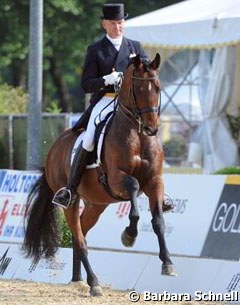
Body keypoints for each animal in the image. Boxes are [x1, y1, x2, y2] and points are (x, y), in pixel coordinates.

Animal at [23, 52, 177, 294]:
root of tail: (54, 149)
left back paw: (78, 279)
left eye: (158, 88)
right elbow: (134, 192)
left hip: (97, 204)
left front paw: (168, 263)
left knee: (81, 234)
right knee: (79, 238)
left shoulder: (154, 181)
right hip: (71, 200)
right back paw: (94, 283)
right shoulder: (116, 179)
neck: (138, 135)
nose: (151, 128)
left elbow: (159, 221)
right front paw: (129, 235)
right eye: (138, 89)